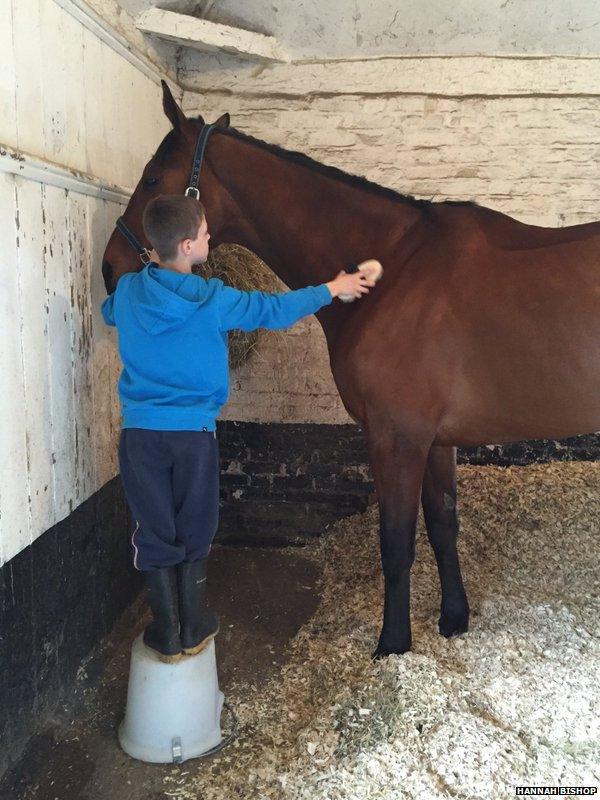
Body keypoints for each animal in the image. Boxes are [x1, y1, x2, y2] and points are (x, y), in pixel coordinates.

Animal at [103, 79, 600, 656]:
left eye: (153, 178)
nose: (110, 268)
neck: (399, 270)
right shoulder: (434, 440)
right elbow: (443, 525)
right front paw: (453, 619)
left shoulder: (396, 437)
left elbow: (396, 542)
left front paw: (392, 645)